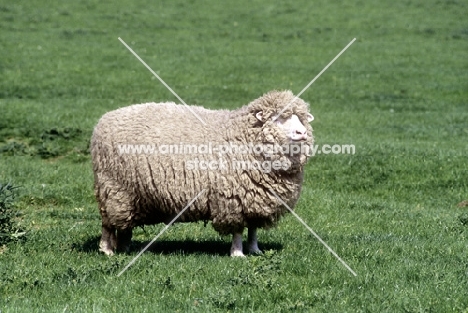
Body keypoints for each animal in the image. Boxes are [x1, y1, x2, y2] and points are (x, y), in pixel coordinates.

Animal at [91, 89, 314, 256]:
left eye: (300, 118)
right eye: (277, 118)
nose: (301, 132)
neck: (242, 137)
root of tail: (102, 120)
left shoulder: (255, 198)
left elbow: (253, 228)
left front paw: (254, 249)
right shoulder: (232, 198)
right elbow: (237, 230)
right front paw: (237, 253)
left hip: (129, 194)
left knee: (124, 223)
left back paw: (125, 247)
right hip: (113, 188)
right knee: (108, 223)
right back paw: (107, 249)